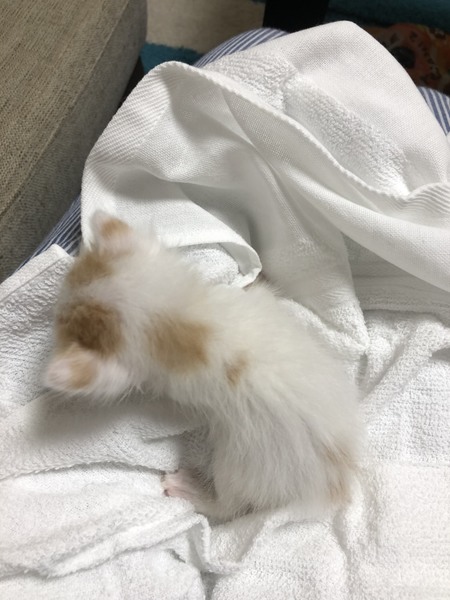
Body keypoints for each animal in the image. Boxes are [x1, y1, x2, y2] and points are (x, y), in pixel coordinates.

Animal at [44, 210, 361, 521]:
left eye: (59, 316)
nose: (53, 310)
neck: (182, 320)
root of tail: (334, 480)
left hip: (242, 465)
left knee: (230, 507)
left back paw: (193, 490)